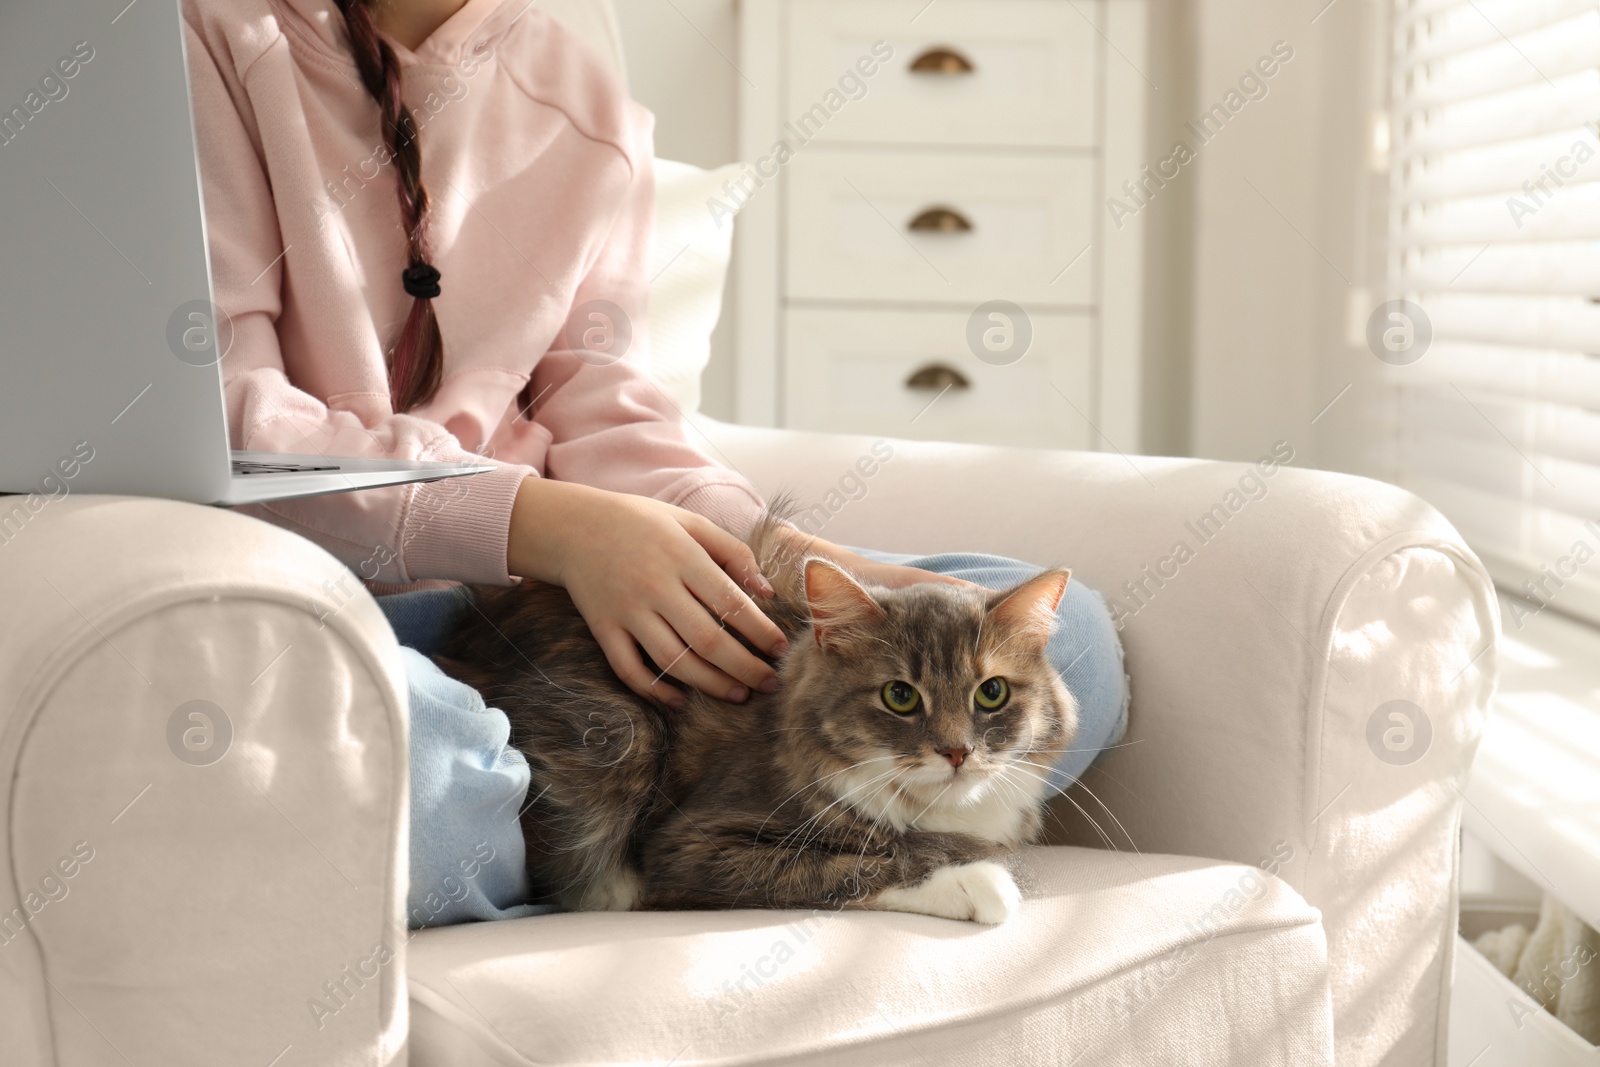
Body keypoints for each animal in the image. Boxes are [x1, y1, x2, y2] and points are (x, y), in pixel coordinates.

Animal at [435, 521, 1075, 921]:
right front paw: (978, 882)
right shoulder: (693, 845)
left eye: (991, 693)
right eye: (900, 696)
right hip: (619, 732)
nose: (957, 752)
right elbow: (848, 867)